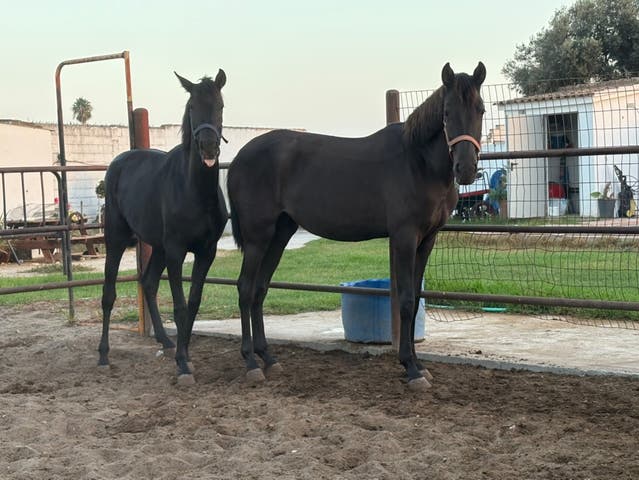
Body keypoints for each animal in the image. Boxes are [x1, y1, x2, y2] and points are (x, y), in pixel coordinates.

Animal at [98, 70, 228, 385]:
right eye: (192, 107)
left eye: (220, 106)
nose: (208, 148)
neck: (194, 190)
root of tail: (119, 161)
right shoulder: (176, 252)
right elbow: (180, 307)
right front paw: (182, 365)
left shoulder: (206, 252)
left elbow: (193, 303)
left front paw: (185, 354)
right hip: (116, 239)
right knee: (108, 294)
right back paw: (104, 356)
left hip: (156, 246)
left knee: (148, 282)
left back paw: (165, 341)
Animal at [227, 62, 486, 391]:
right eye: (448, 112)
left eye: (480, 109)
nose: (466, 169)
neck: (418, 162)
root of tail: (238, 158)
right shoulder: (404, 237)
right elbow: (405, 300)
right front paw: (410, 369)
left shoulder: (427, 240)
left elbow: (415, 301)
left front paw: (419, 366)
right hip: (258, 237)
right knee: (245, 289)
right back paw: (250, 363)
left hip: (280, 234)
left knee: (259, 289)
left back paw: (269, 359)